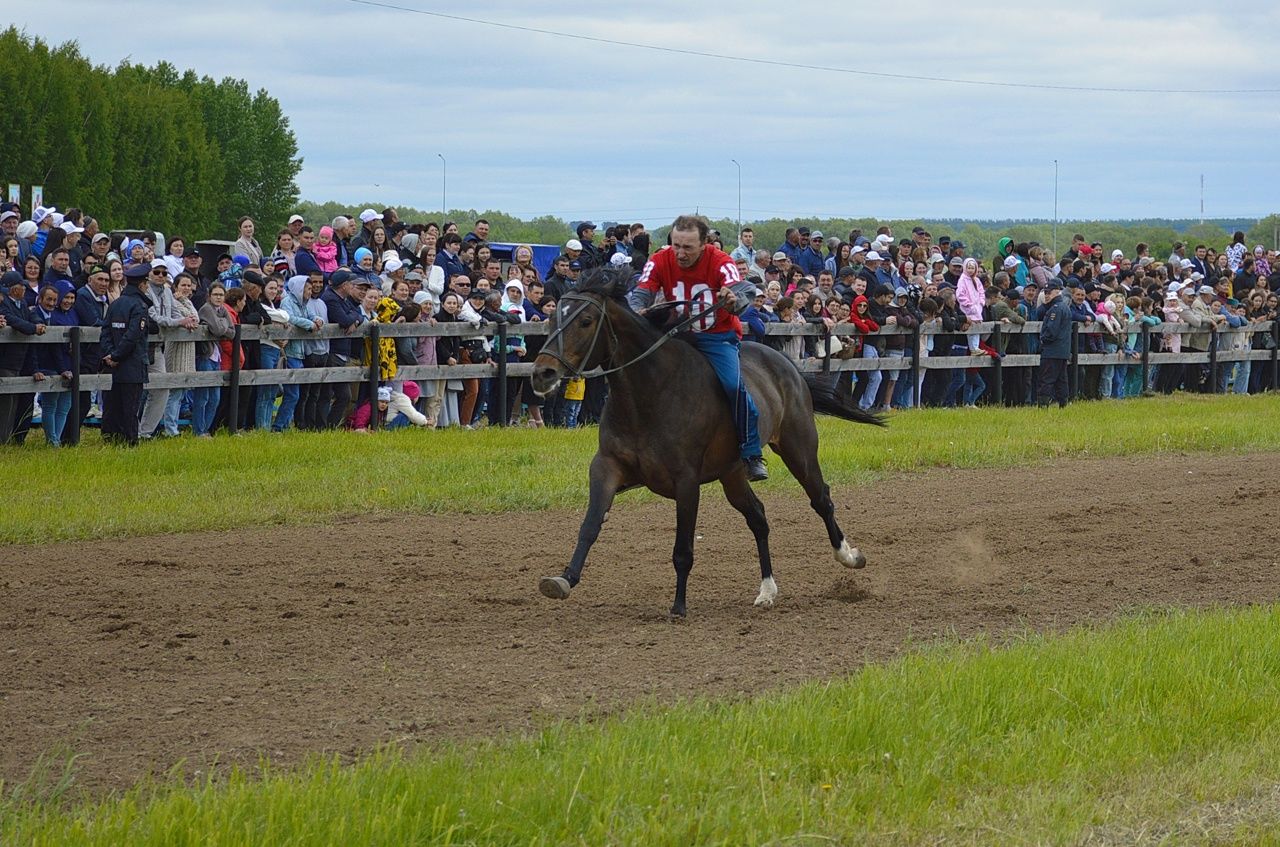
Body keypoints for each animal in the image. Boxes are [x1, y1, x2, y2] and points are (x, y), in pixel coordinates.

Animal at [527, 267, 880, 616]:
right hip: (732, 473)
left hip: (799, 448)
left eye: (586, 321)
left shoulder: (686, 480)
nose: (543, 373)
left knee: (821, 498)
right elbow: (590, 525)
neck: (650, 392)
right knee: (758, 517)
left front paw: (679, 605)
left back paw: (849, 556)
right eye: (552, 318)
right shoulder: (607, 467)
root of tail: (786, 364)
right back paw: (767, 590)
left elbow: (683, 548)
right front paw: (563, 579)